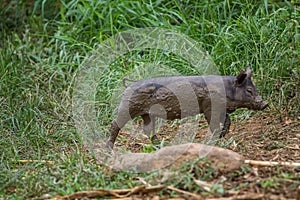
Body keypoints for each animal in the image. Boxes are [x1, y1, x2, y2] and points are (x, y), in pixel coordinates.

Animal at [106, 66, 268, 148]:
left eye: (254, 88)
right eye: (249, 90)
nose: (265, 103)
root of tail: (129, 85)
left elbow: (228, 121)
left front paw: (222, 135)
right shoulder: (209, 107)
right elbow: (214, 124)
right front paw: (213, 140)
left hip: (146, 114)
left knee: (147, 129)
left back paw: (161, 145)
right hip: (127, 108)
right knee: (115, 124)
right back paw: (109, 147)